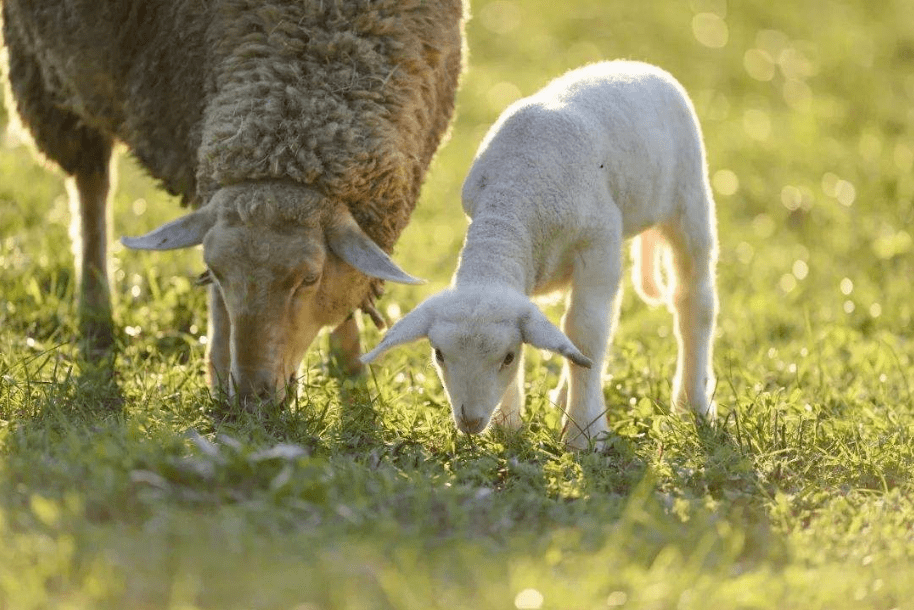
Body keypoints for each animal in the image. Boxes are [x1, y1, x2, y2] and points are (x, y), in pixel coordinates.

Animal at [1, 2, 464, 404]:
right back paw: (96, 313)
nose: (252, 396)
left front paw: (351, 365)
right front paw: (219, 372)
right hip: (46, 76)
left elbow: (348, 284)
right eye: (214, 271)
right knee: (91, 186)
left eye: (310, 279)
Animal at [360, 60, 716, 446]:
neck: (514, 197)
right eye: (439, 354)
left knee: (693, 302)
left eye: (507, 357)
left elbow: (586, 332)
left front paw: (584, 433)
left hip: (689, 199)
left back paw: (692, 404)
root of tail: (634, 64)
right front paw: (507, 424)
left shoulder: (600, 240)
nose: (470, 421)